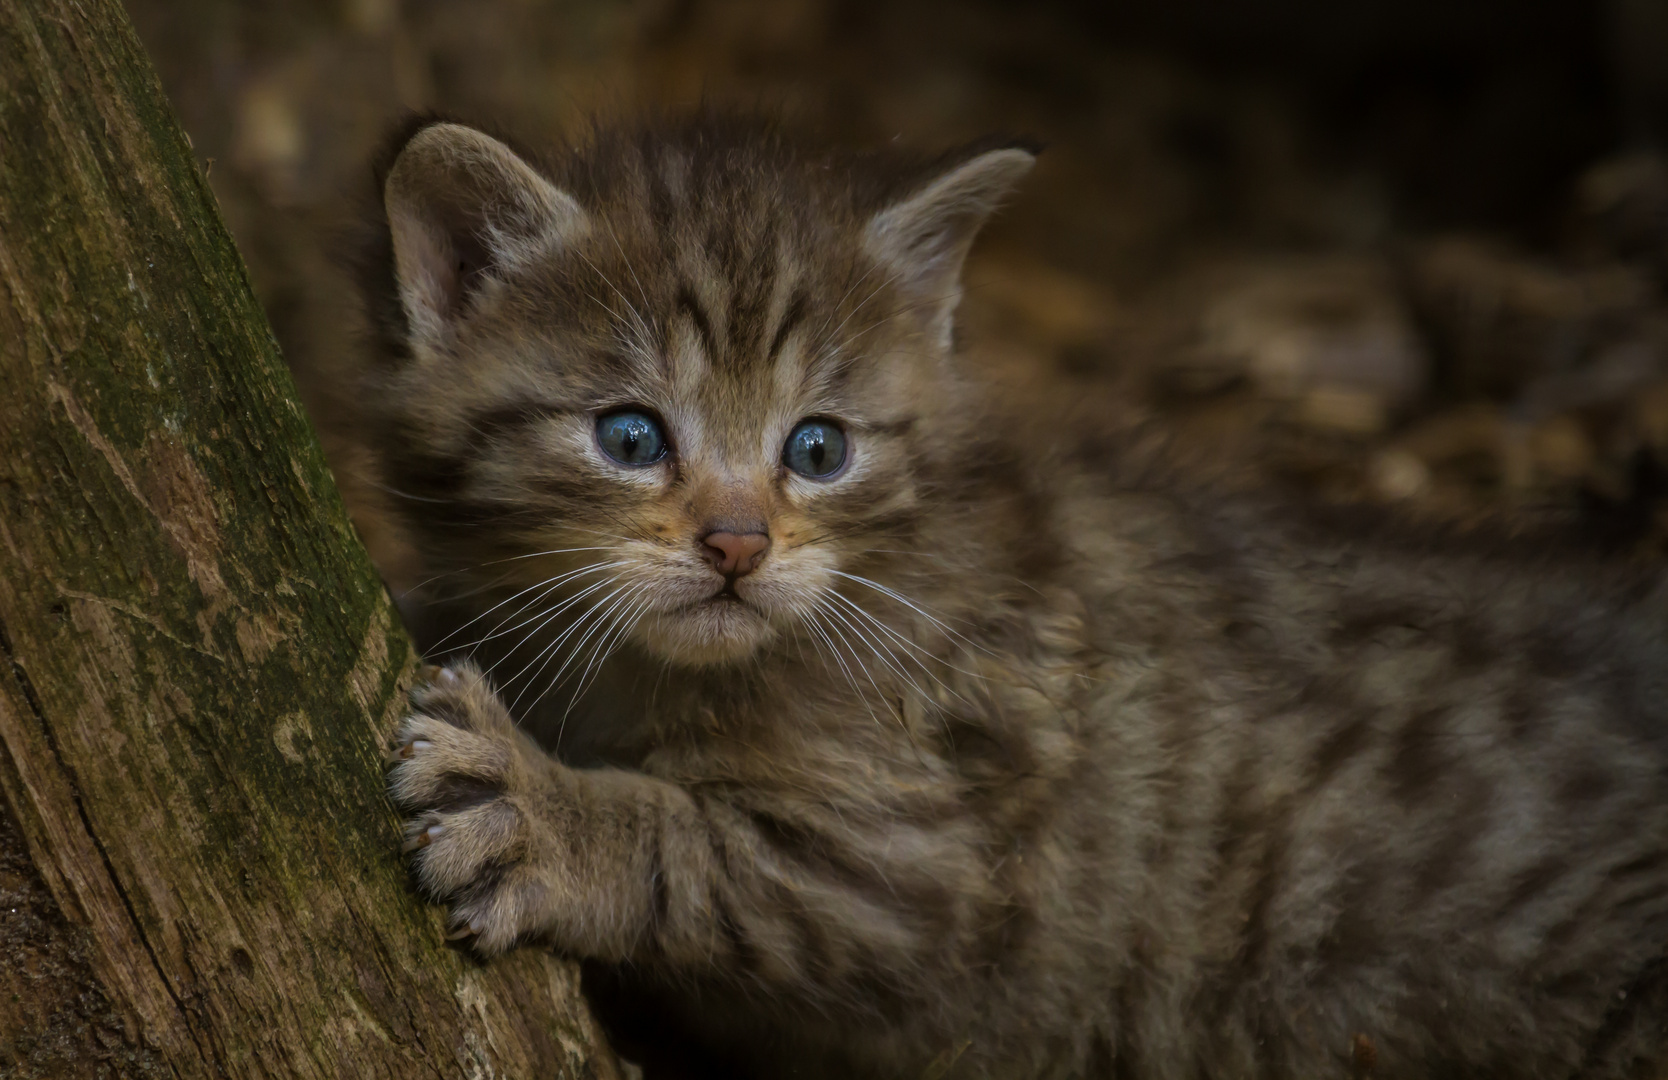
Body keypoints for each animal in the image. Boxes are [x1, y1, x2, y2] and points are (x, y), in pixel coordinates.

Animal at [331, 114, 1668, 1074]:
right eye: (628, 436)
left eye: (818, 449)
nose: (738, 545)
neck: (639, 673)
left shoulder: (921, 870)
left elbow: (698, 850)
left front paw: (537, 810)